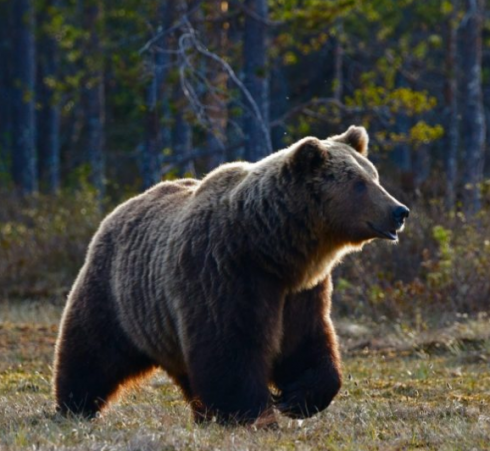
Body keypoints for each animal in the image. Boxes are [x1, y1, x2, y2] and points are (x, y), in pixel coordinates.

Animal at [52, 126, 410, 428]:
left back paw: (202, 414)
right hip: (117, 294)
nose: (400, 211)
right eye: (359, 183)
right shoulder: (225, 272)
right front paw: (253, 414)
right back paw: (74, 407)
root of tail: (119, 209)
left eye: (374, 176)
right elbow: (230, 347)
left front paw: (296, 399)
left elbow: (306, 341)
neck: (272, 249)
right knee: (91, 351)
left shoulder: (301, 291)